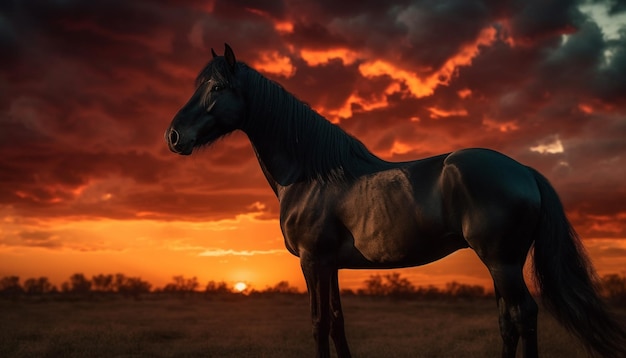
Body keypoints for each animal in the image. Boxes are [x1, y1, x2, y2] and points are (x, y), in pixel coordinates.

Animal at [166, 44, 624, 358]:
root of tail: (525, 170)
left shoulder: (312, 262)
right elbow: (337, 322)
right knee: (508, 320)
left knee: (524, 316)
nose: (173, 136)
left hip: (503, 262)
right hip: (499, 266)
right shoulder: (331, 264)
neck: (311, 175)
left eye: (217, 87)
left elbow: (318, 322)